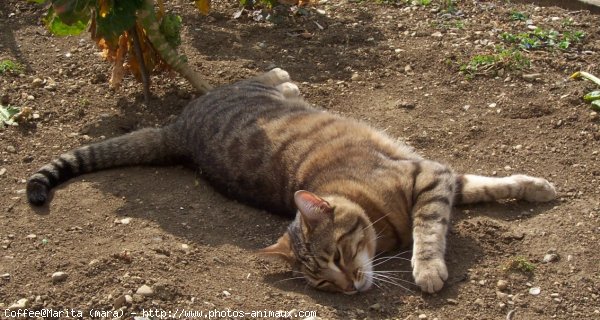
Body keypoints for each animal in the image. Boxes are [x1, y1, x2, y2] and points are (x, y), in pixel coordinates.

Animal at [25, 69, 556, 294]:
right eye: (321, 281)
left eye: (337, 256)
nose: (349, 288)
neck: (381, 218)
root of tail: (178, 129)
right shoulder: (434, 177)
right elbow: (457, 205)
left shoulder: (430, 173)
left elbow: (466, 201)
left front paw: (534, 187)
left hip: (248, 89)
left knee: (268, 74)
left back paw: (286, 78)